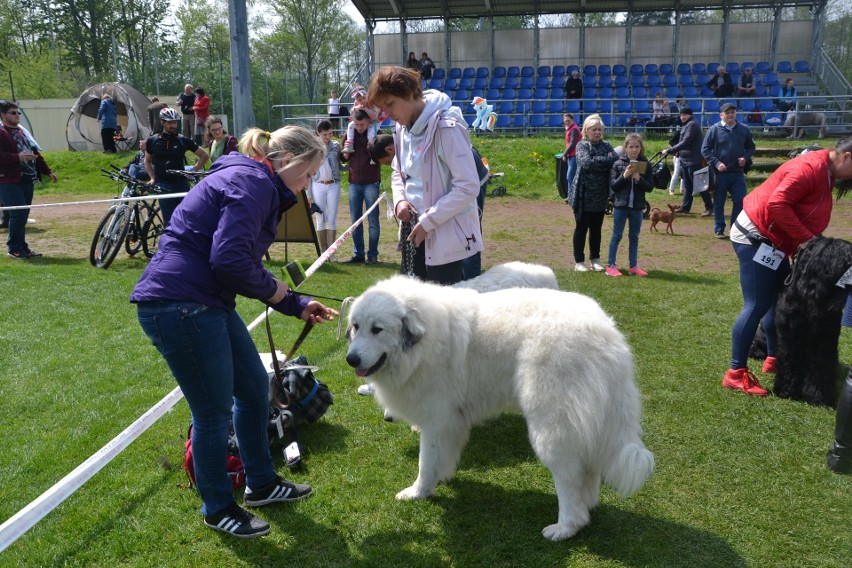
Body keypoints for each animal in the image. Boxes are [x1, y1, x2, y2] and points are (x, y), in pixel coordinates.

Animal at [342, 276, 656, 540]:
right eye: (356, 327)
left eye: (377, 329)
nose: (351, 359)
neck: (423, 343)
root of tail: (606, 333)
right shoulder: (451, 421)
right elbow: (442, 457)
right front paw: (438, 480)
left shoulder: (436, 420)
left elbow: (425, 461)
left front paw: (418, 492)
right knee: (587, 472)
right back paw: (587, 507)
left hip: (552, 425)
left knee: (569, 478)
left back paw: (566, 527)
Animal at [752, 237, 852, 406]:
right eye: (835, 252)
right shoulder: (790, 336)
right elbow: (789, 361)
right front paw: (786, 390)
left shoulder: (825, 339)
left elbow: (821, 366)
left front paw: (819, 395)